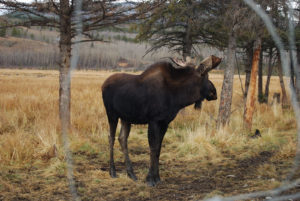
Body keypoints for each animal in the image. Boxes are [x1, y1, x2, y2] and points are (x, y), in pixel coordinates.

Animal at [102, 54, 221, 185]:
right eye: (206, 76)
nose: (214, 93)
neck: (177, 97)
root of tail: (103, 85)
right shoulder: (153, 120)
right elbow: (153, 147)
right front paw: (150, 178)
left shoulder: (165, 122)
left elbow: (158, 148)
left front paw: (157, 177)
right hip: (112, 114)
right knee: (111, 138)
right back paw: (113, 172)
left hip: (126, 118)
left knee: (122, 138)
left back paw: (131, 173)